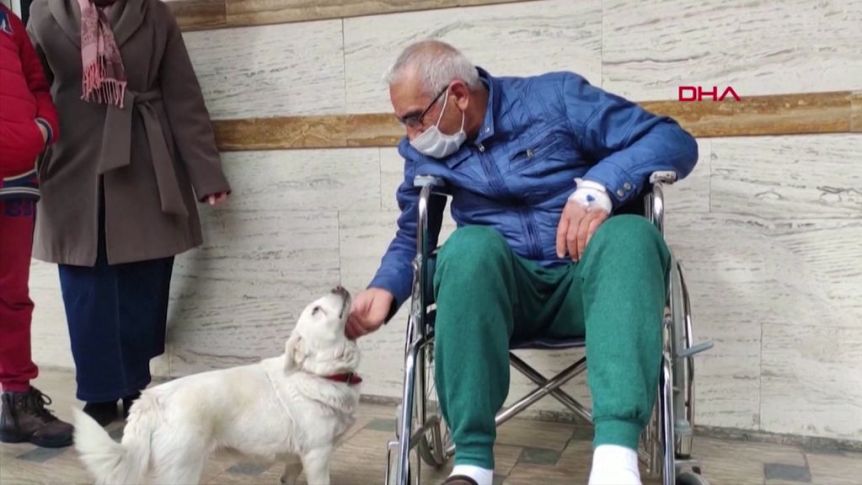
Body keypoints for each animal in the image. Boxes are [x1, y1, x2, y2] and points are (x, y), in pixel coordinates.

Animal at [71, 286, 362, 482]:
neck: (317, 374)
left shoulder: (297, 460)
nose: (337, 287)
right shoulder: (317, 455)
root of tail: (151, 400)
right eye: (316, 310)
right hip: (182, 470)